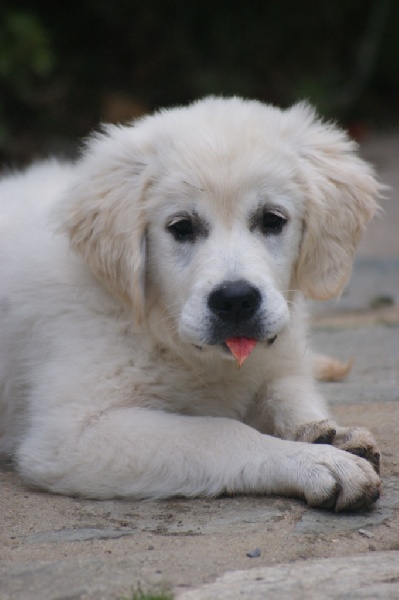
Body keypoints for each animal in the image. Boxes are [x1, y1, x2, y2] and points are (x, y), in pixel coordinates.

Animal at [0, 96, 382, 508]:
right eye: (182, 227)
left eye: (272, 220)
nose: (236, 300)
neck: (158, 327)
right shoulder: (71, 432)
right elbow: (220, 434)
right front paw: (318, 461)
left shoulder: (278, 357)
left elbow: (285, 392)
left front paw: (327, 433)